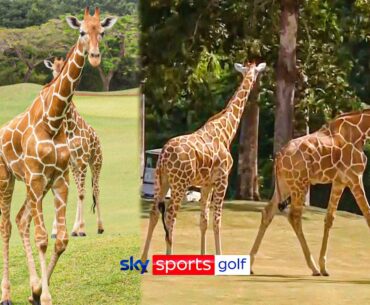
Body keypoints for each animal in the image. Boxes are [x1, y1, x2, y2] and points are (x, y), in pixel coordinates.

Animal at [45, 57, 105, 238]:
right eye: (53, 70)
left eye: (63, 68)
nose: (58, 82)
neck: (70, 127)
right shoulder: (69, 163)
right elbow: (61, 193)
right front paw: (57, 230)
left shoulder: (83, 161)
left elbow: (81, 193)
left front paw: (80, 228)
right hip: (77, 167)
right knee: (83, 190)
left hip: (96, 162)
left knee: (95, 190)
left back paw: (99, 227)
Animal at [142, 61, 266, 262]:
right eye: (255, 72)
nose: (255, 83)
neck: (226, 131)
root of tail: (163, 155)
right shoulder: (222, 180)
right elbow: (217, 220)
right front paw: (220, 255)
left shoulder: (206, 184)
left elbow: (204, 221)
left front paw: (203, 255)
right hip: (180, 183)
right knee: (170, 215)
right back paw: (169, 256)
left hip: (161, 180)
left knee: (154, 212)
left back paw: (144, 257)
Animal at [250, 108, 370, 274]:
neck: (361, 130)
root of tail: (278, 157)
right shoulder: (354, 177)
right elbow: (367, 214)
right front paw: (321, 266)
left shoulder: (340, 181)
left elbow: (329, 218)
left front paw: (324, 266)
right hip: (300, 184)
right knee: (294, 217)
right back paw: (313, 268)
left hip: (286, 185)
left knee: (268, 212)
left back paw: (250, 265)